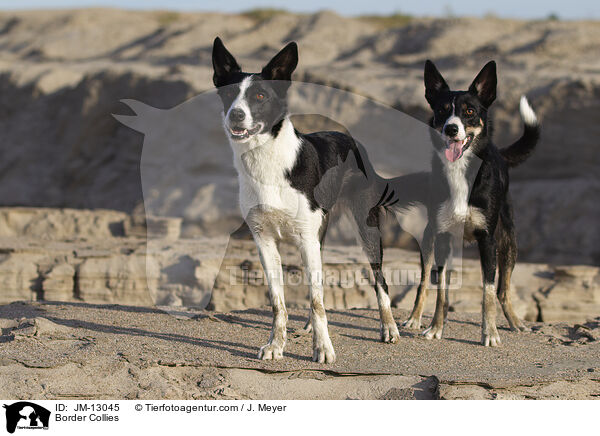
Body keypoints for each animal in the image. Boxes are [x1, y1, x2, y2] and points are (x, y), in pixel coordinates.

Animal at [212, 39, 408, 362]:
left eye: (260, 95)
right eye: (228, 95)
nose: (236, 115)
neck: (267, 162)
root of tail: (353, 141)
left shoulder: (305, 238)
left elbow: (317, 302)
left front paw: (324, 349)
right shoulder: (264, 241)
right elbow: (279, 302)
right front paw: (276, 345)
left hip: (366, 229)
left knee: (380, 280)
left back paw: (389, 328)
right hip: (320, 234)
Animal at [404, 59, 544, 346]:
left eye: (469, 111)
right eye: (442, 110)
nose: (451, 128)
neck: (461, 170)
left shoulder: (487, 239)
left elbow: (488, 291)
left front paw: (489, 333)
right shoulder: (442, 236)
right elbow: (440, 290)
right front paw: (435, 328)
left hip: (508, 240)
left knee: (503, 289)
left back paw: (515, 322)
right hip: (429, 238)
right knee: (425, 282)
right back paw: (415, 317)